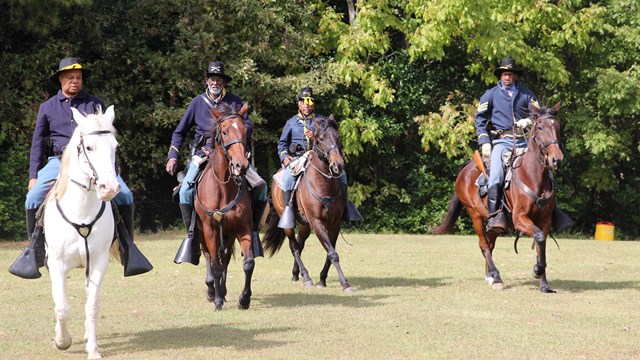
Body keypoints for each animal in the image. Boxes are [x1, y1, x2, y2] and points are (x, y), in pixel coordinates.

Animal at [43, 105, 122, 358]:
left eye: (115, 147)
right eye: (88, 147)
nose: (109, 188)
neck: (81, 212)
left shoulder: (98, 262)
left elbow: (92, 306)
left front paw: (93, 350)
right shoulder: (56, 264)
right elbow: (62, 307)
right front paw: (62, 341)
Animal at [195, 102, 258, 310]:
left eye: (245, 130)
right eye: (224, 131)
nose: (241, 165)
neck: (223, 187)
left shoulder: (242, 228)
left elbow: (248, 264)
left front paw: (244, 299)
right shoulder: (210, 229)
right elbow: (215, 265)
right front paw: (217, 301)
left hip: (229, 235)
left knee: (226, 260)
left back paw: (222, 291)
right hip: (202, 232)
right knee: (209, 256)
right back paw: (212, 291)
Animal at [262, 115, 356, 292]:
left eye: (337, 137)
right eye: (320, 139)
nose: (338, 165)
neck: (324, 185)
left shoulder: (334, 224)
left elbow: (330, 252)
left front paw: (322, 279)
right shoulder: (317, 223)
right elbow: (332, 253)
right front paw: (345, 283)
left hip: (305, 225)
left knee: (300, 244)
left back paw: (296, 274)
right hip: (288, 224)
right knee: (294, 247)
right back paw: (305, 277)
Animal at [432, 101, 564, 292]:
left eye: (557, 127)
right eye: (540, 127)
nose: (556, 159)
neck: (533, 175)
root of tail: (466, 168)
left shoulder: (544, 221)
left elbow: (541, 245)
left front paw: (544, 284)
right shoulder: (520, 218)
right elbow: (539, 238)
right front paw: (537, 271)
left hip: (495, 223)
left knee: (490, 243)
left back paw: (490, 276)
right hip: (475, 214)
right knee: (484, 245)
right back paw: (495, 276)